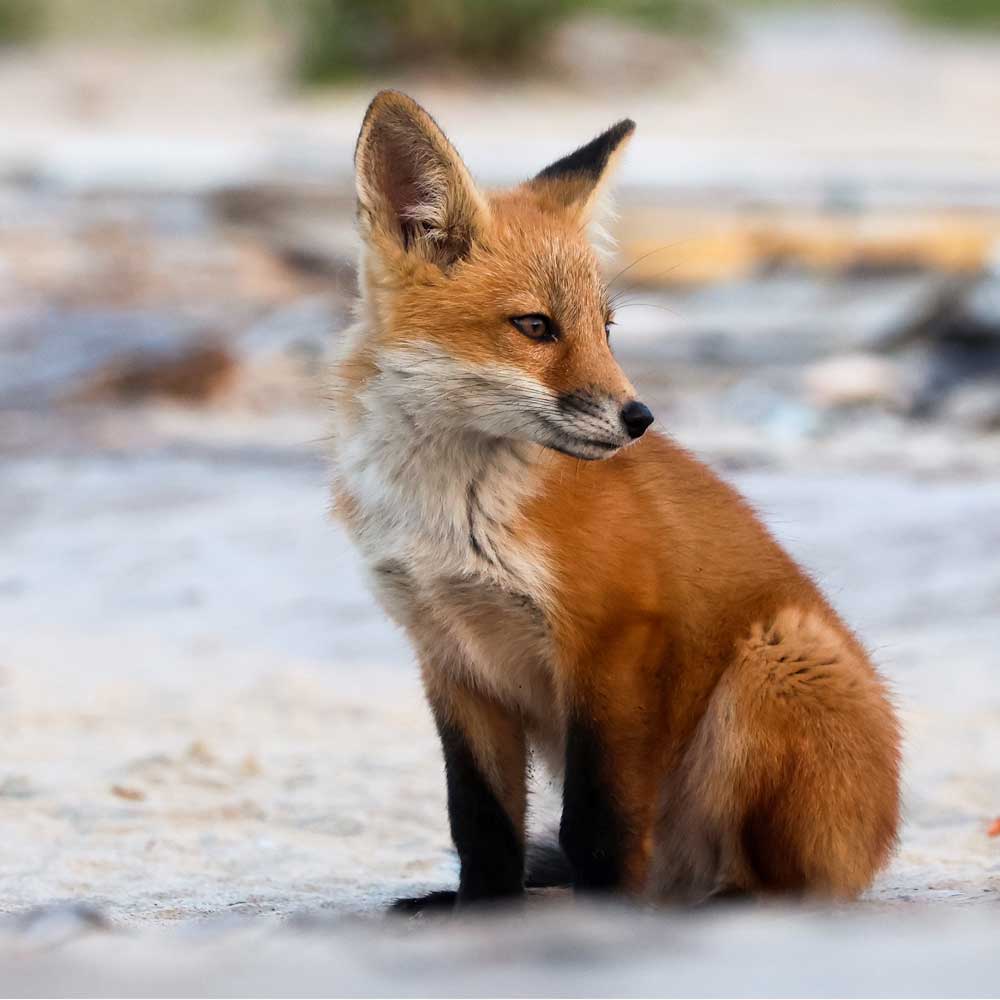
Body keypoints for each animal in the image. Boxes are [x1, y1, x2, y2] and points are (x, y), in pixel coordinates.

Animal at [330, 90, 901, 910]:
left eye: (606, 327)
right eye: (535, 326)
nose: (640, 418)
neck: (449, 513)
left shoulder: (613, 636)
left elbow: (598, 820)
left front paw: (604, 911)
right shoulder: (448, 655)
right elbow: (479, 818)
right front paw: (482, 908)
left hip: (776, 659)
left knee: (785, 885)